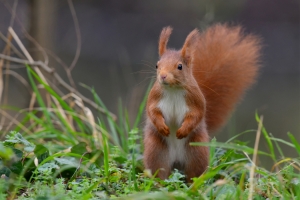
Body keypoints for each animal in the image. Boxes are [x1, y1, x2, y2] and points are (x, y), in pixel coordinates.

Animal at [143, 24, 260, 182]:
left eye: (179, 66)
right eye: (157, 65)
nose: (163, 76)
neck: (173, 89)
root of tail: (176, 162)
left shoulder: (195, 100)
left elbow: (196, 114)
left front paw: (182, 131)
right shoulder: (154, 97)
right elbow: (152, 111)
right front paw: (162, 127)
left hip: (196, 152)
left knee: (194, 174)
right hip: (156, 152)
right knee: (159, 172)